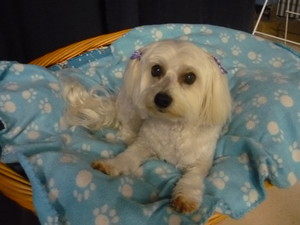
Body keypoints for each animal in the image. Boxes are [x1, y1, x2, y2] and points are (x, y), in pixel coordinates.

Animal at [61, 39, 232, 214]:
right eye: (156, 70)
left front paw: (186, 198)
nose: (161, 99)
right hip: (132, 112)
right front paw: (112, 164)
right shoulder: (143, 144)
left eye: (190, 77)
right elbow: (127, 156)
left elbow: (193, 179)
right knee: (127, 130)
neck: (172, 124)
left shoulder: (201, 162)